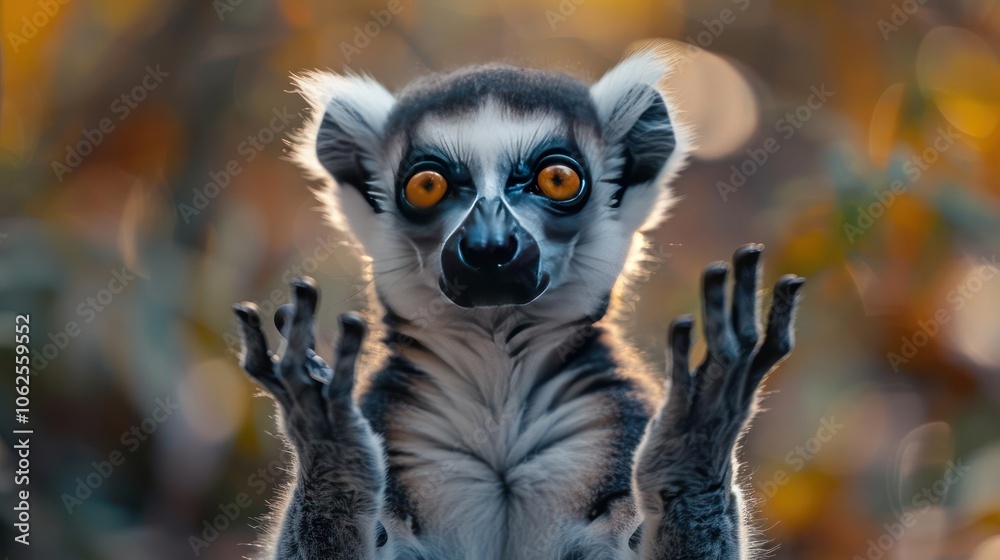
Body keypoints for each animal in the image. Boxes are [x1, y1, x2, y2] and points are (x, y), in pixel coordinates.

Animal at [232, 45, 804, 559]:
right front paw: (331, 443)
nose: (489, 247)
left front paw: (696, 437)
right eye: (427, 186)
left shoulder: (615, 425)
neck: (498, 381)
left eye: (557, 179)